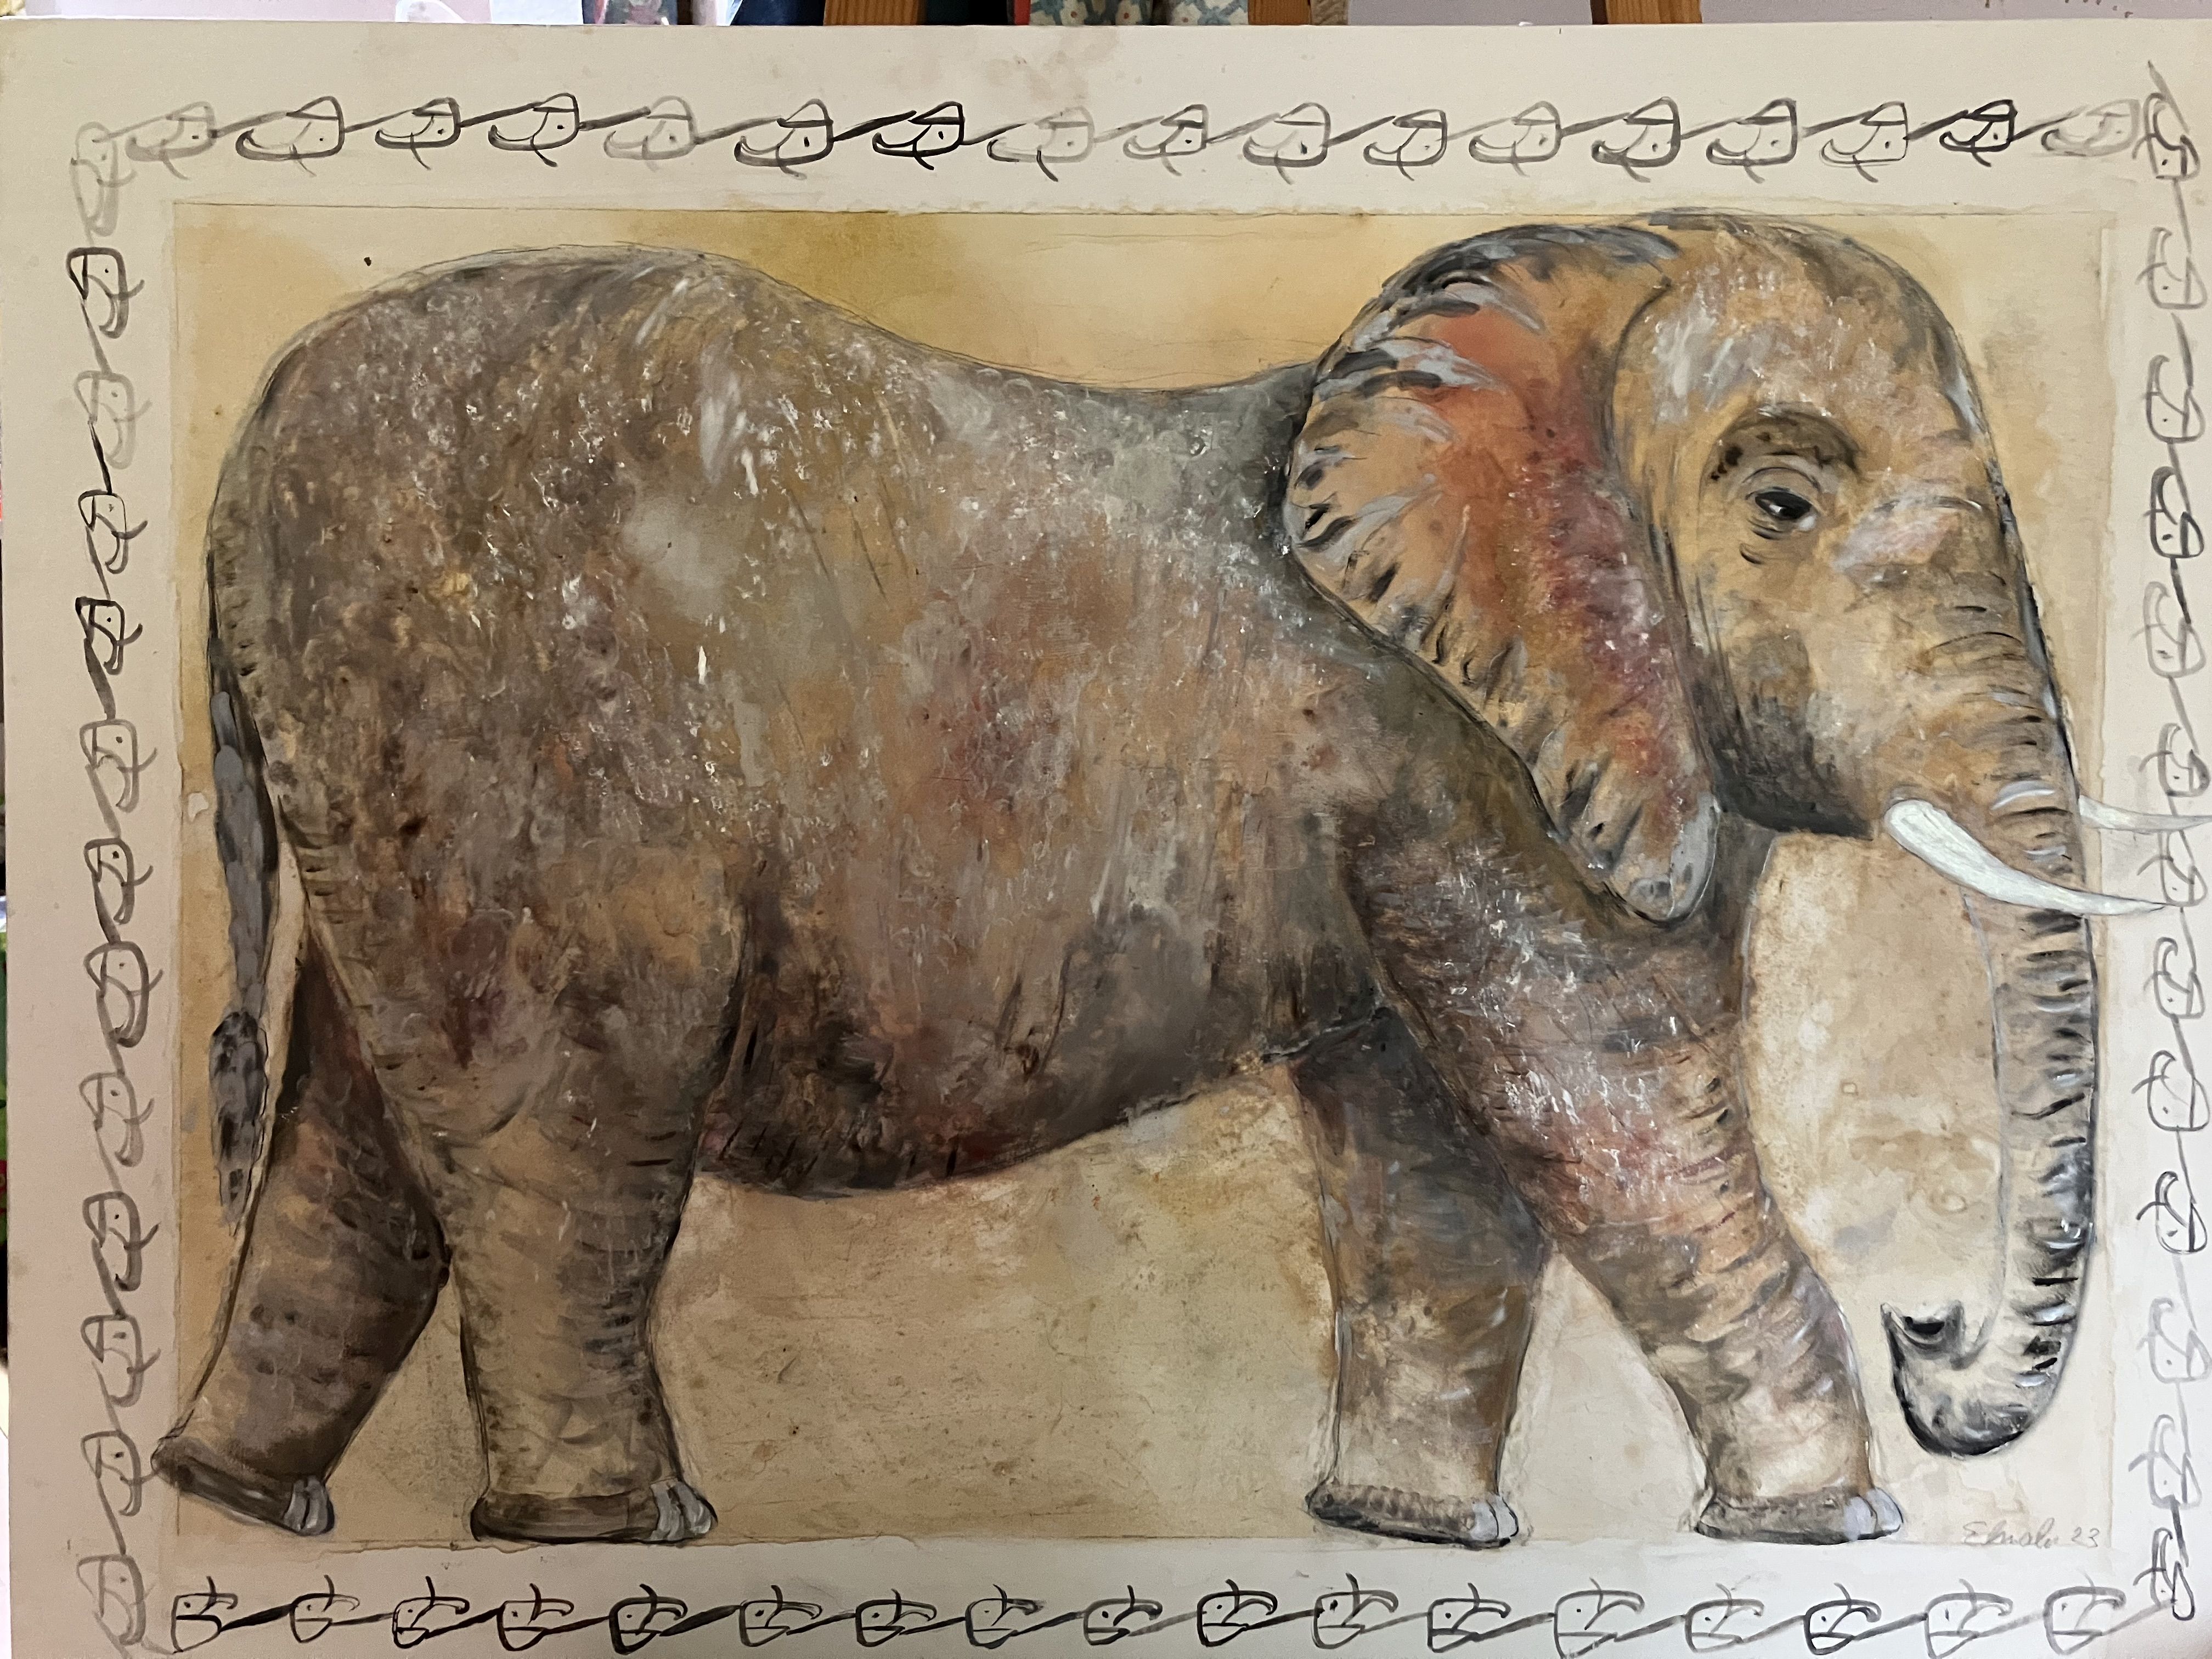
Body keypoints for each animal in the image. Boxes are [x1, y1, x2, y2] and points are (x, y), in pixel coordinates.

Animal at [155, 213, 2162, 1552]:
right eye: (1783, 507)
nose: (1929, 1326)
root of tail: (240, 467)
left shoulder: (1419, 783)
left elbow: (1438, 1157)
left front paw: (1406, 1536)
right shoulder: (1459, 757)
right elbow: (1604, 1110)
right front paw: (1826, 1533)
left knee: (360, 1141)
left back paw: (230, 1496)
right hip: (524, 765)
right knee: (566, 1135)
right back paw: (609, 1535)